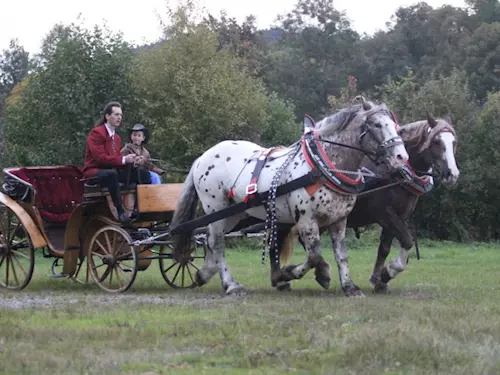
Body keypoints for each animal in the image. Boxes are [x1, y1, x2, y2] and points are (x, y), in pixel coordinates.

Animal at [170, 97, 408, 296]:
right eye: (376, 125)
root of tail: (203, 157)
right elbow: (315, 255)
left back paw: (204, 273)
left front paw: (349, 286)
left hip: (232, 214)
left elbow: (341, 255)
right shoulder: (306, 221)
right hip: (216, 208)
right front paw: (308, 273)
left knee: (210, 241)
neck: (320, 167)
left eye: (395, 125)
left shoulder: (339, 220)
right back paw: (231, 285)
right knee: (218, 243)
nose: (401, 157)